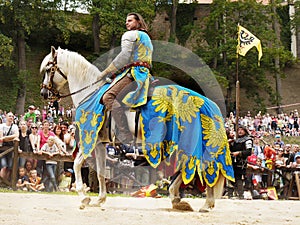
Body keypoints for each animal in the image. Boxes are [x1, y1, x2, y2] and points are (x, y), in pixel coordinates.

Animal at [38, 46, 233, 212]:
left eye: (48, 69)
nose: (44, 93)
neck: (91, 93)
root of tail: (203, 101)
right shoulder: (100, 143)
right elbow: (100, 172)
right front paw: (100, 199)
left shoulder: (90, 138)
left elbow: (77, 164)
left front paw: (83, 197)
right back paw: (180, 199)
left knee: (201, 167)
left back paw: (202, 202)